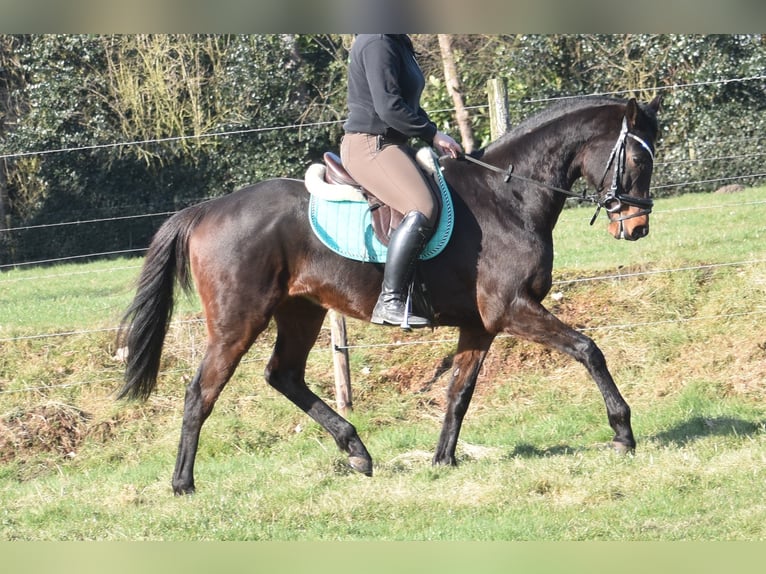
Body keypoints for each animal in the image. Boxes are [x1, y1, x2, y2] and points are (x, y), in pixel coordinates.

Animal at [117, 94, 664, 496]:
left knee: (284, 375)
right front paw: (623, 433)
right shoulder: (511, 310)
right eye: (638, 157)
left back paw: (357, 451)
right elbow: (588, 350)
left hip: (301, 311)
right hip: (238, 320)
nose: (637, 227)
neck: (508, 198)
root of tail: (207, 210)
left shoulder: (480, 325)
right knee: (201, 392)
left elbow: (459, 392)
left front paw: (442, 460)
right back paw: (183, 484)